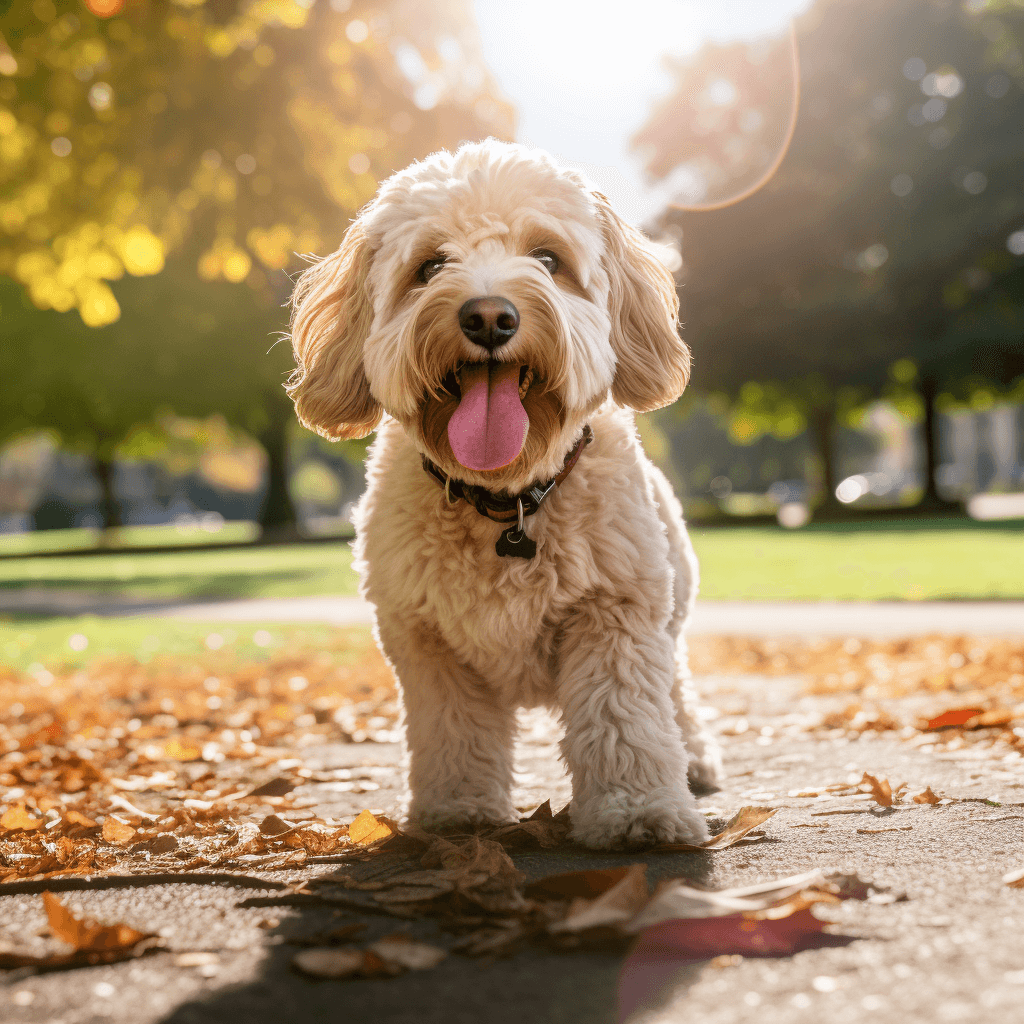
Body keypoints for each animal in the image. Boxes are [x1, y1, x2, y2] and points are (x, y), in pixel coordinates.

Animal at [286, 140, 720, 851]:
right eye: (431, 265)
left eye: (547, 258)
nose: (489, 316)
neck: (507, 502)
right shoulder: (427, 641)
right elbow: (453, 733)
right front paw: (457, 810)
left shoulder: (615, 616)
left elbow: (624, 720)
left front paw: (638, 812)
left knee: (676, 692)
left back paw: (695, 761)